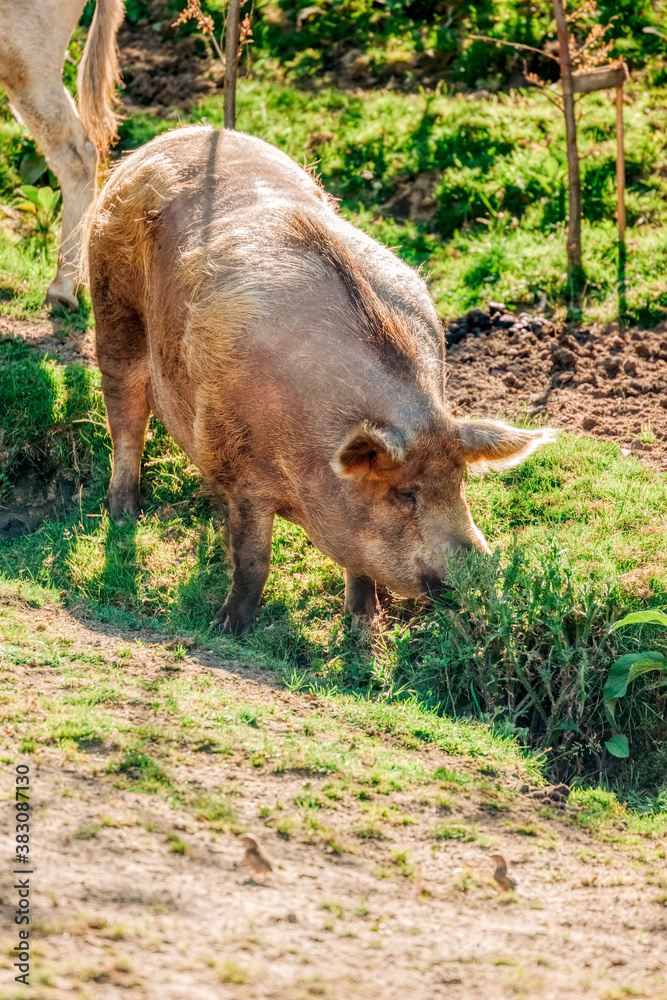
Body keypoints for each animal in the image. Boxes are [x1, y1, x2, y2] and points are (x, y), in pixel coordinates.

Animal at [83, 126, 555, 633]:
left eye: (460, 484)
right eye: (404, 495)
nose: (481, 576)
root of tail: (173, 138)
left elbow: (358, 564)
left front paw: (363, 628)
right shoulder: (240, 468)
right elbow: (254, 558)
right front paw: (227, 627)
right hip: (112, 311)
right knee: (126, 419)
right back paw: (124, 515)